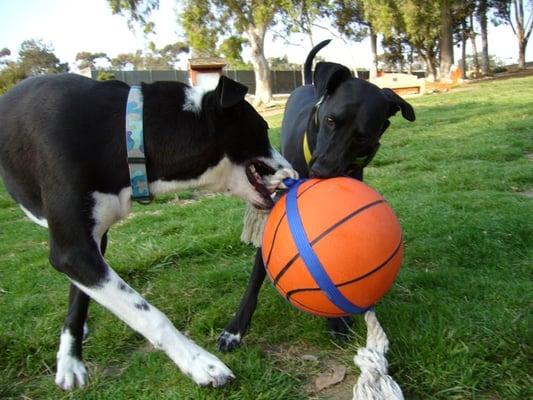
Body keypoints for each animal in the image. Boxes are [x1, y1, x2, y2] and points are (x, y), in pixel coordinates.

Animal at [0, 73, 296, 390]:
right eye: (263, 128)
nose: (293, 172)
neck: (127, 132)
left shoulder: (88, 244)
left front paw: (72, 357)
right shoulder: (73, 250)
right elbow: (147, 313)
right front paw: (200, 364)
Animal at [217, 40, 416, 352]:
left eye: (362, 137)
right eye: (331, 120)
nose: (320, 171)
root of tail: (310, 83)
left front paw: (336, 320)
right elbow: (256, 274)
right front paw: (235, 329)